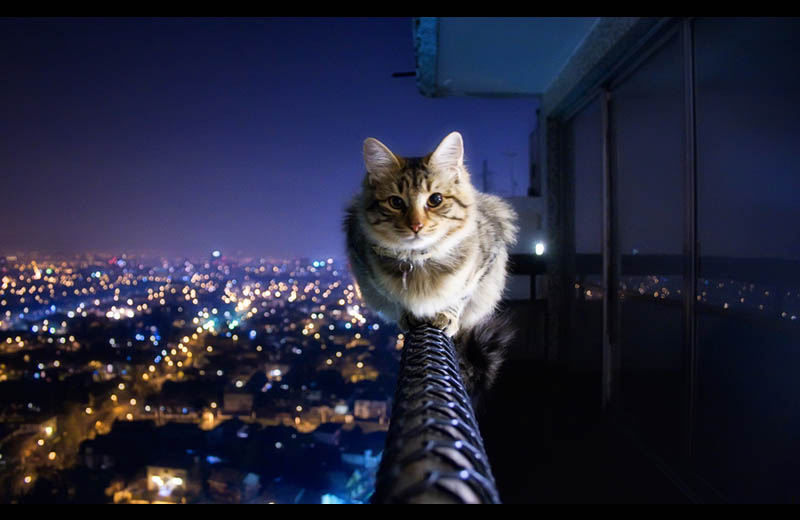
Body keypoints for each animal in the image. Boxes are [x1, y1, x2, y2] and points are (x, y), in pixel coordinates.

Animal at [342, 132, 520, 396]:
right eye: (396, 202)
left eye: (435, 200)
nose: (416, 225)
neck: (418, 259)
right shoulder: (367, 270)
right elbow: (398, 300)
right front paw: (408, 315)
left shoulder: (485, 263)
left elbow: (460, 295)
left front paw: (447, 316)